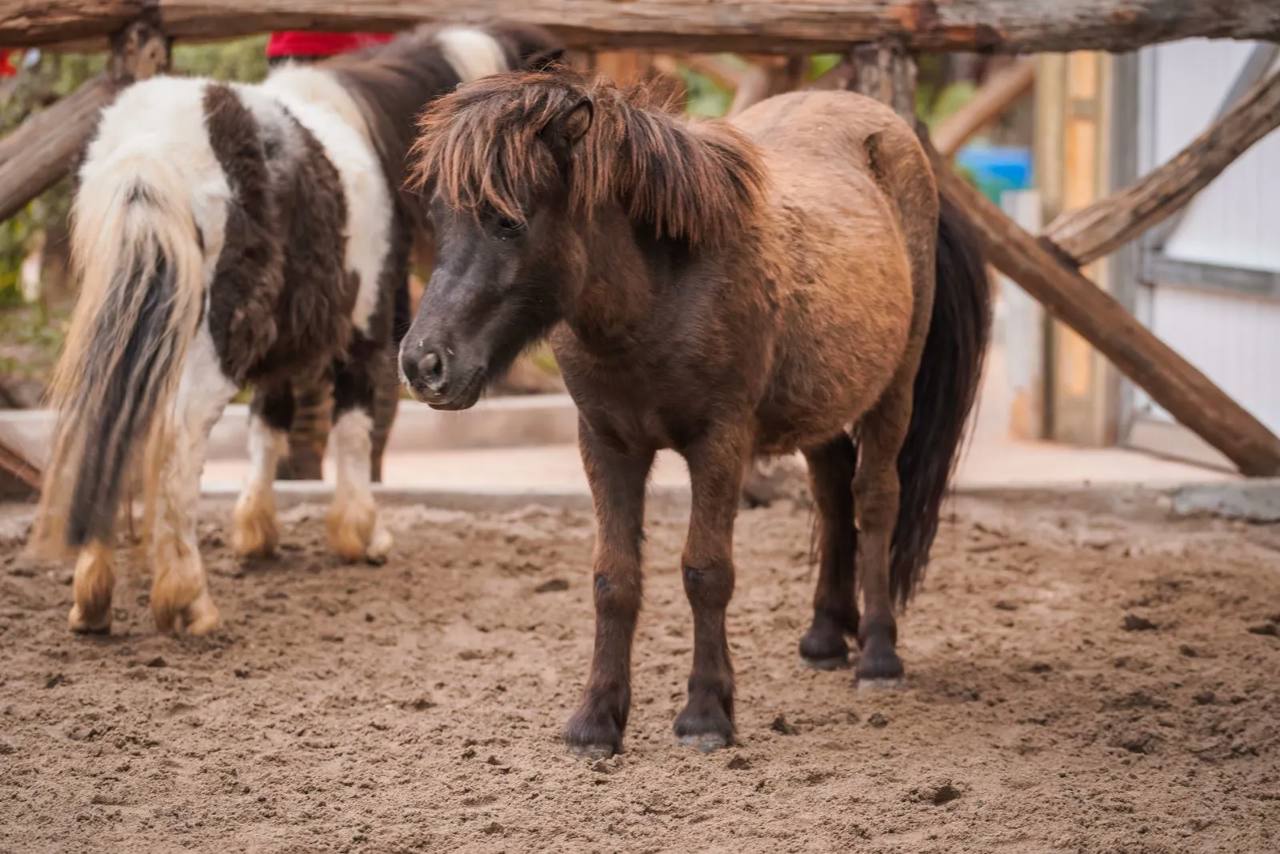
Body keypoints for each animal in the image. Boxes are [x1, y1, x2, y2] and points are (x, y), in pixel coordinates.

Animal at [31, 24, 562, 637]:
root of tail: (149, 148)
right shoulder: (367, 330)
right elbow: (353, 427)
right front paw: (362, 534)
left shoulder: (279, 346)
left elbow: (268, 424)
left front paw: (257, 532)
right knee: (176, 444)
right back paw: (187, 599)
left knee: (113, 421)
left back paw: (92, 597)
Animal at [402, 69, 990, 755]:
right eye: (441, 216)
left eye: (506, 222)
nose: (422, 364)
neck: (660, 292)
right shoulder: (605, 443)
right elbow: (613, 579)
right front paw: (595, 720)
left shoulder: (720, 442)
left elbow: (705, 572)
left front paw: (707, 714)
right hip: (819, 403)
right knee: (830, 493)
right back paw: (824, 637)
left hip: (893, 389)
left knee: (873, 501)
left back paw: (876, 657)